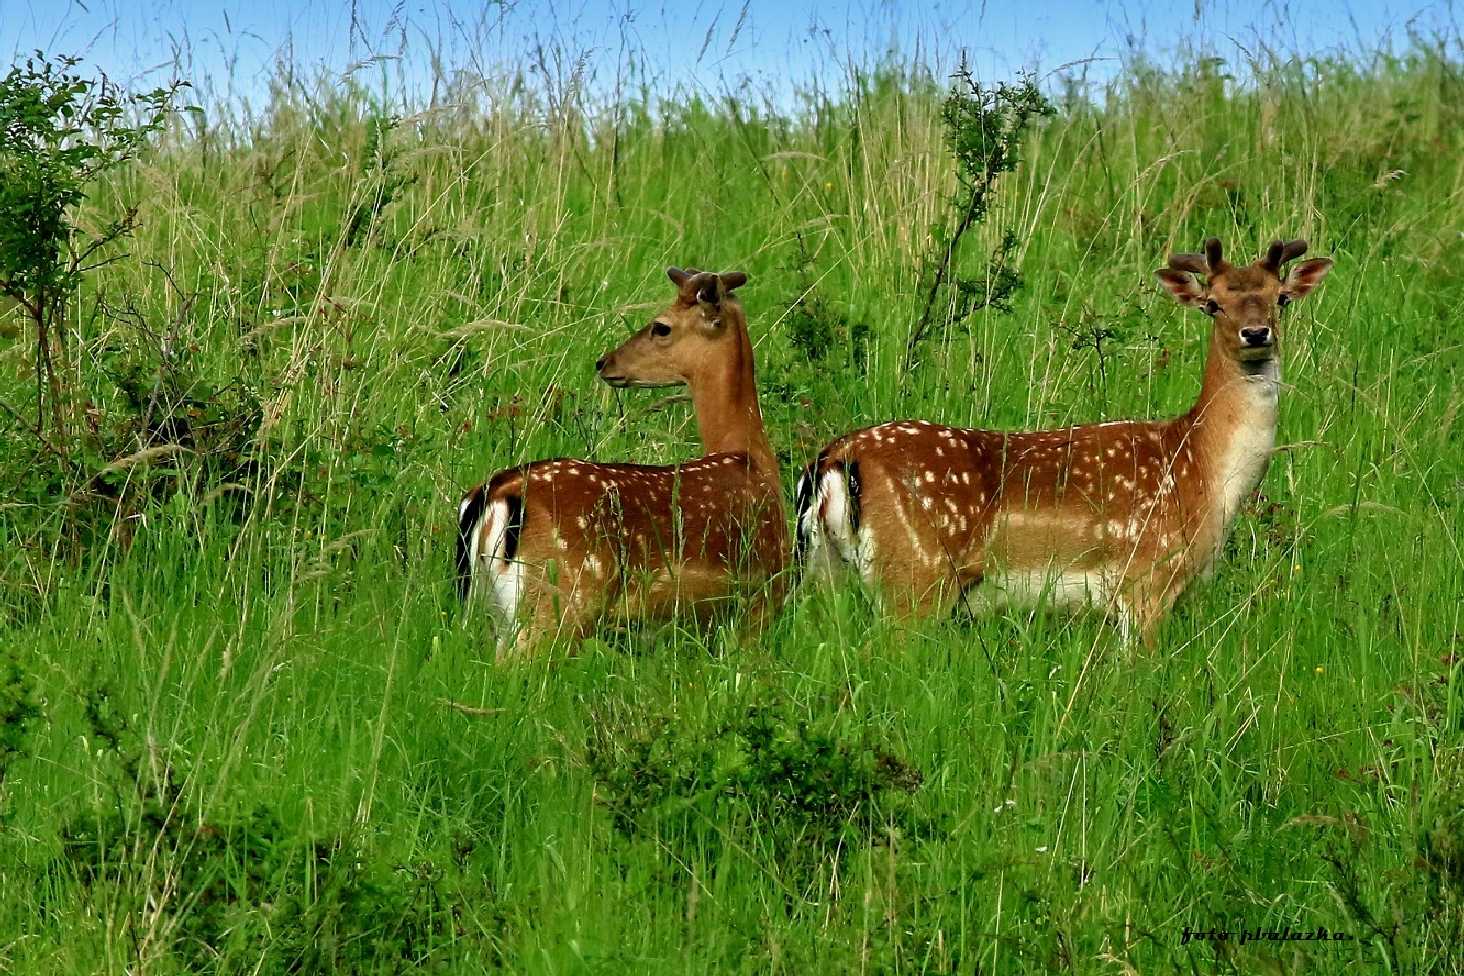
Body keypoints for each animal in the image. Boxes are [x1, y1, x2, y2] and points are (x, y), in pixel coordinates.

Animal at [456, 270, 790, 661]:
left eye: (660, 327)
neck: (752, 460)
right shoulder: (764, 595)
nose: (604, 362)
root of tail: (495, 493)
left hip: (491, 611)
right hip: (564, 598)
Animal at [796, 239, 1335, 643]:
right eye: (1212, 304)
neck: (1203, 474)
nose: (1256, 333)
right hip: (914, 576)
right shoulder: (1146, 581)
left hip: (825, 573)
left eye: (1281, 298)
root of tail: (836, 458)